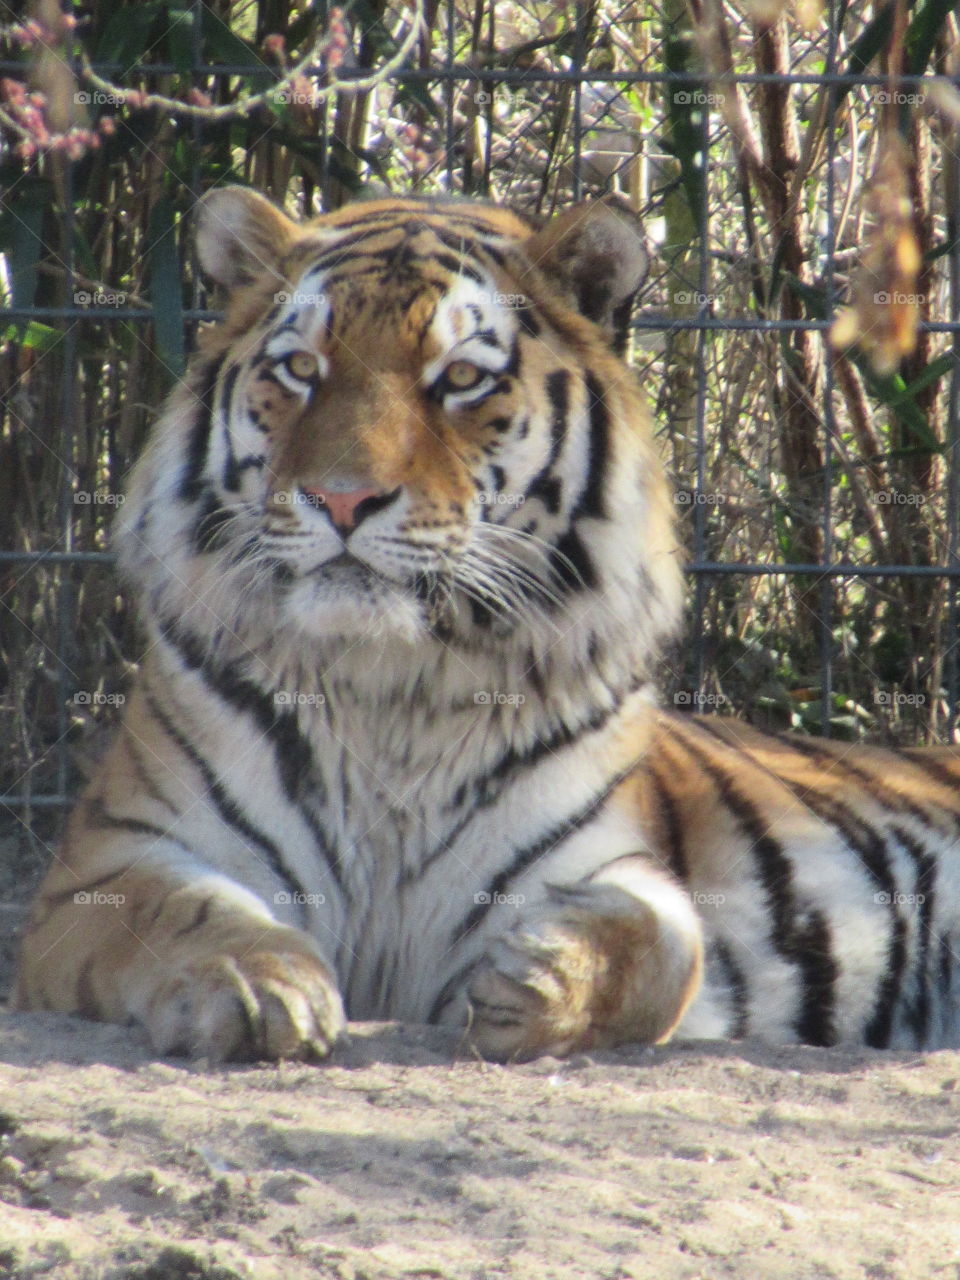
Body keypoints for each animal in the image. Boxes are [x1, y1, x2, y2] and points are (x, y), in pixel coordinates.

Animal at [13, 183, 960, 1059]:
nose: (341, 499)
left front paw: (540, 976)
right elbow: (182, 912)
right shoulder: (106, 863)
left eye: (461, 379)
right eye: (301, 369)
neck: (388, 686)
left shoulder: (611, 864)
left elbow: (662, 942)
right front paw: (257, 981)